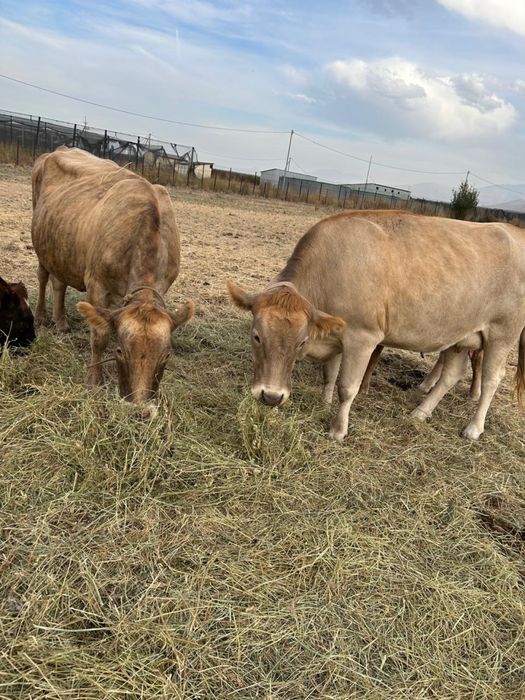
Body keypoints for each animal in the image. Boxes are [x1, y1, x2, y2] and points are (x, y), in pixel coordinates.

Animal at [31, 147, 194, 408]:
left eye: (166, 355)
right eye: (119, 351)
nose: (140, 409)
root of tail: (58, 150)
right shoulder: (96, 284)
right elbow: (100, 335)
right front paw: (94, 381)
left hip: (63, 247)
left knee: (59, 282)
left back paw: (61, 322)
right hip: (40, 243)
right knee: (43, 276)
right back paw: (40, 316)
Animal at [227, 211, 525, 442]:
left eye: (301, 342)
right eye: (256, 336)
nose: (271, 396)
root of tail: (514, 231)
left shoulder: (362, 337)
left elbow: (347, 387)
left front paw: (338, 430)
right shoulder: (336, 334)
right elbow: (329, 374)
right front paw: (324, 403)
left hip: (502, 333)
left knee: (492, 379)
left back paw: (473, 428)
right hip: (460, 335)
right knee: (452, 374)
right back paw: (420, 413)